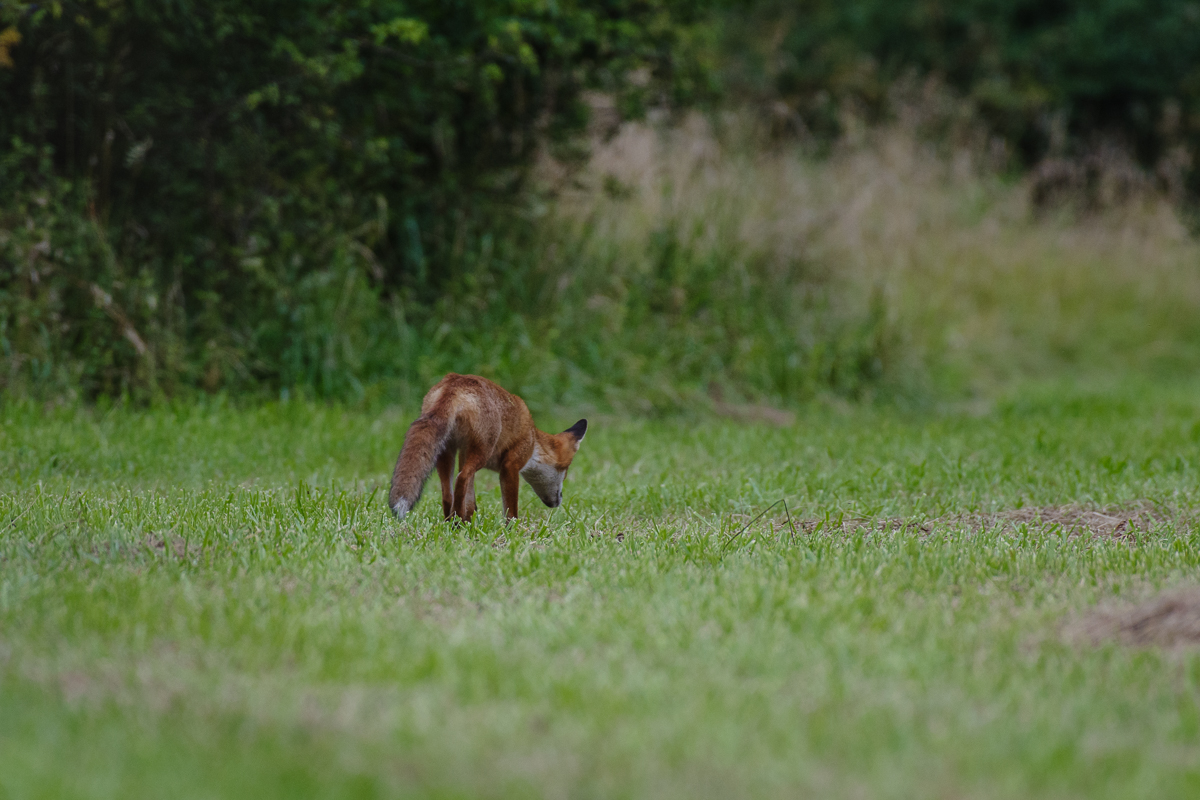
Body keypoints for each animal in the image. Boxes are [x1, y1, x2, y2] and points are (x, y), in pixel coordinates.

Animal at [388, 376, 585, 525]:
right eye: (566, 471)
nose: (559, 501)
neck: (532, 436)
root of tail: (454, 381)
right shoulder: (510, 465)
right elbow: (510, 509)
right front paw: (513, 530)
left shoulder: (464, 453)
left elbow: (470, 500)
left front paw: (469, 521)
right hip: (482, 452)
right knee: (461, 479)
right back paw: (456, 521)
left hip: (447, 452)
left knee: (448, 492)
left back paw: (452, 521)